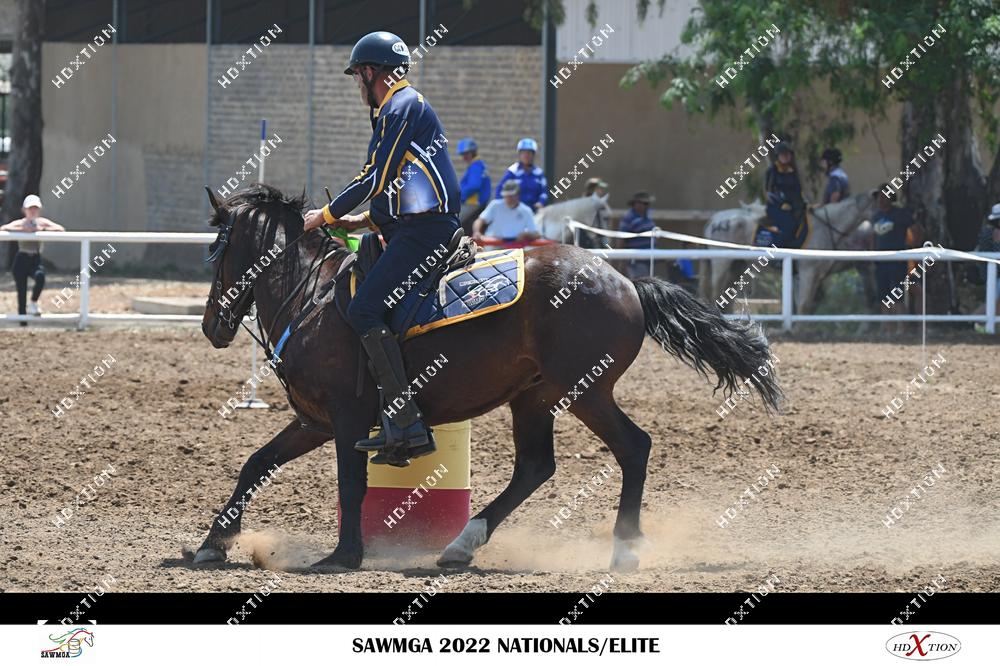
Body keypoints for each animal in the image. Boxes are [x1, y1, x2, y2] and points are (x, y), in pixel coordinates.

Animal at [192, 184, 782, 572]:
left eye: (217, 251)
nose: (211, 325)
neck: (313, 297)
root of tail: (626, 281)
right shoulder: (314, 420)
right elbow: (257, 463)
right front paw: (212, 543)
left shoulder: (348, 417)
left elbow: (351, 482)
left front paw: (342, 556)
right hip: (535, 399)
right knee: (535, 468)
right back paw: (461, 545)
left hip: (586, 391)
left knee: (633, 447)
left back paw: (624, 548)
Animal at [699, 192, 877, 314]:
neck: (824, 227)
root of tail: (715, 220)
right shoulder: (807, 272)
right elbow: (804, 303)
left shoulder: (815, 274)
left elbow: (810, 302)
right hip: (721, 263)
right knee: (716, 291)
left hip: (736, 266)